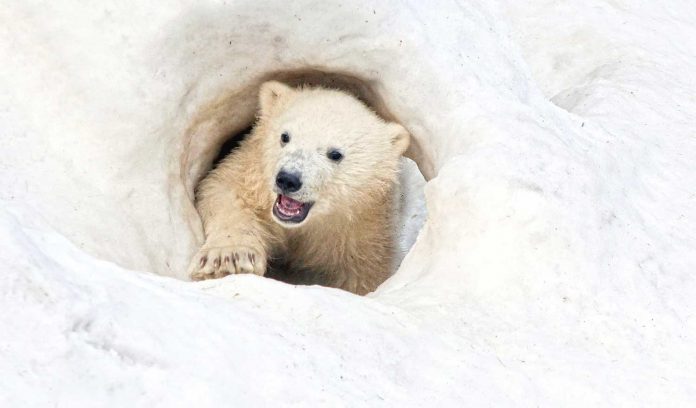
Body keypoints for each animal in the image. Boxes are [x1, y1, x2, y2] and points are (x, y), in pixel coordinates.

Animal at [188, 81, 410, 295]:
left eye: (335, 154)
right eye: (285, 136)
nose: (288, 179)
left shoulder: (363, 233)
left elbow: (363, 273)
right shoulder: (251, 172)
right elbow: (225, 191)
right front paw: (228, 257)